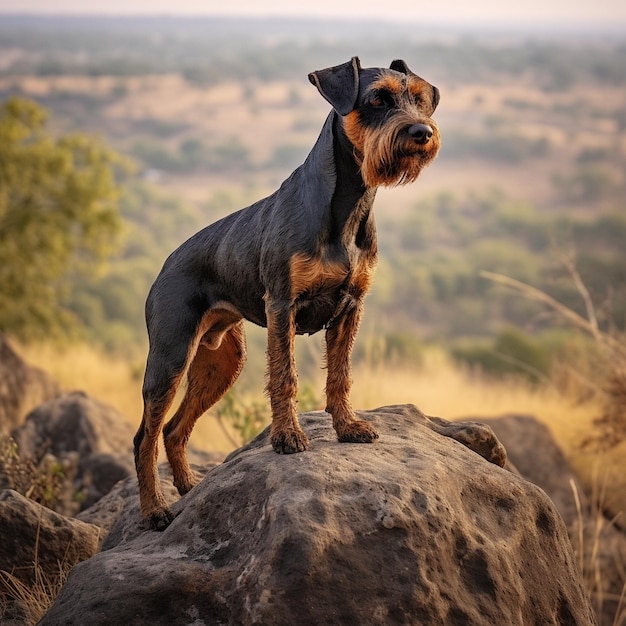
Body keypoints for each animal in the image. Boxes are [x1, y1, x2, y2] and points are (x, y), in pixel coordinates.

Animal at [135, 57, 442, 528]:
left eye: (421, 99)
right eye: (378, 99)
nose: (421, 132)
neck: (348, 203)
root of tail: (165, 265)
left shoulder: (351, 308)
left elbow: (340, 376)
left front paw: (348, 427)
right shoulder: (283, 307)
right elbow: (285, 378)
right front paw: (288, 438)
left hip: (221, 363)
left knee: (174, 429)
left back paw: (189, 488)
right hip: (169, 360)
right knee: (145, 437)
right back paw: (155, 510)